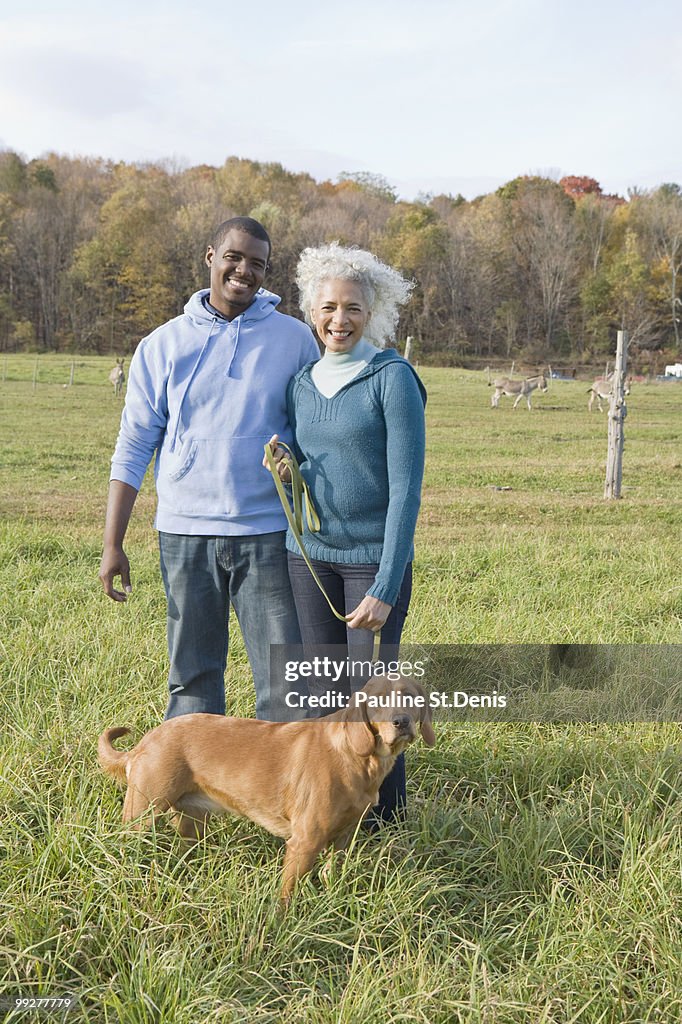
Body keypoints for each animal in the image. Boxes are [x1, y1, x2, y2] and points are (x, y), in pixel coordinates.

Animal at [98, 679, 432, 905]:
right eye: (378, 700)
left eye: (410, 697)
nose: (401, 721)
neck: (356, 757)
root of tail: (145, 742)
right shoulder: (304, 842)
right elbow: (287, 894)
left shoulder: (344, 836)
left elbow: (331, 873)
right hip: (141, 814)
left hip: (191, 821)